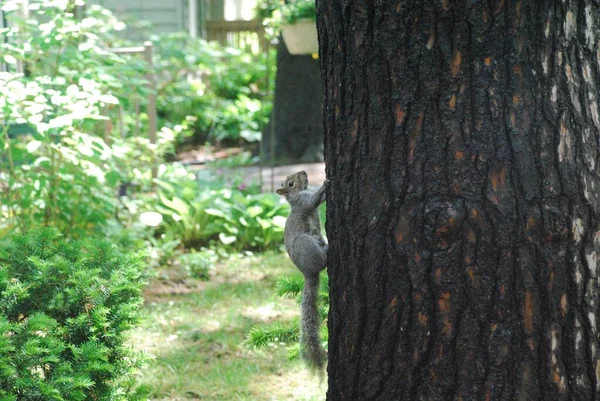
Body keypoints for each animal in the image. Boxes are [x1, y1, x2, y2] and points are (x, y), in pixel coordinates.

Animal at [276, 170, 328, 374]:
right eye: (290, 183)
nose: (304, 172)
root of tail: (307, 272)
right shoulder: (303, 202)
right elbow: (313, 200)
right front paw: (325, 184)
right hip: (305, 244)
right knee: (322, 262)